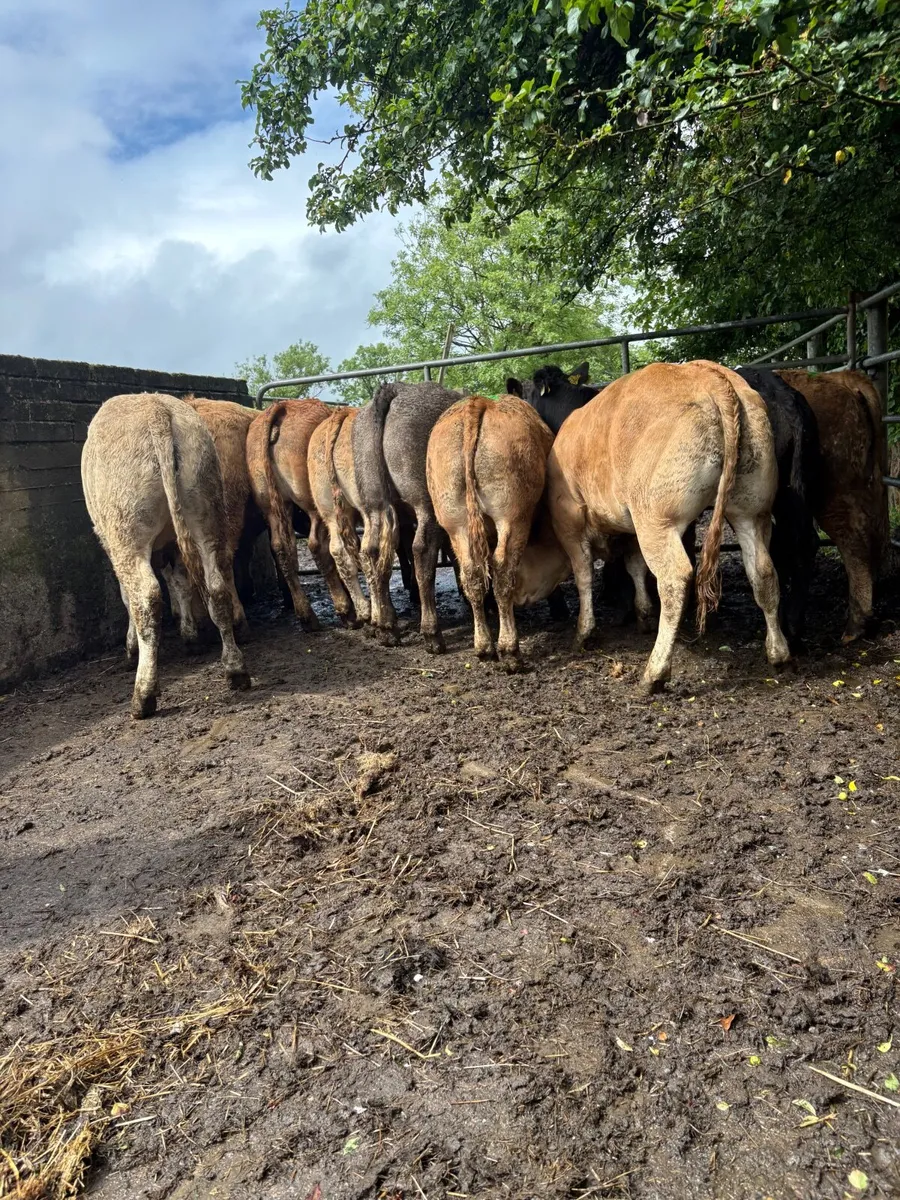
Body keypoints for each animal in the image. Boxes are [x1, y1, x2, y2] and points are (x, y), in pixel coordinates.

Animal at [81, 393, 250, 718]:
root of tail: (156, 410)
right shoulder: (174, 544)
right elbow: (180, 582)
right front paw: (190, 635)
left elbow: (128, 596)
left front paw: (131, 648)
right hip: (205, 510)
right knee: (216, 587)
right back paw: (236, 670)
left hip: (126, 530)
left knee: (146, 596)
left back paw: (143, 696)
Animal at [246, 398, 355, 629]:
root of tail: (281, 408)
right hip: (314, 507)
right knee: (317, 546)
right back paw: (346, 611)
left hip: (273, 507)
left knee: (282, 549)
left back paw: (307, 617)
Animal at [352, 381, 462, 652]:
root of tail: (395, 389)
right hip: (426, 503)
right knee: (422, 551)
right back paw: (432, 634)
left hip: (374, 505)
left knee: (372, 552)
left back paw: (386, 627)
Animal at [427, 394, 569, 670]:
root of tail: (478, 403)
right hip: (512, 518)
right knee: (503, 572)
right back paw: (509, 650)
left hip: (456, 523)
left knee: (471, 574)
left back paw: (484, 647)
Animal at [534, 361, 792, 694]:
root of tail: (707, 375)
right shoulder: (629, 526)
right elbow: (634, 567)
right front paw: (643, 615)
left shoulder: (569, 521)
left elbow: (583, 576)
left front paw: (584, 632)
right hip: (752, 510)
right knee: (763, 572)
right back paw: (778, 653)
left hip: (658, 521)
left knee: (674, 579)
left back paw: (654, 673)